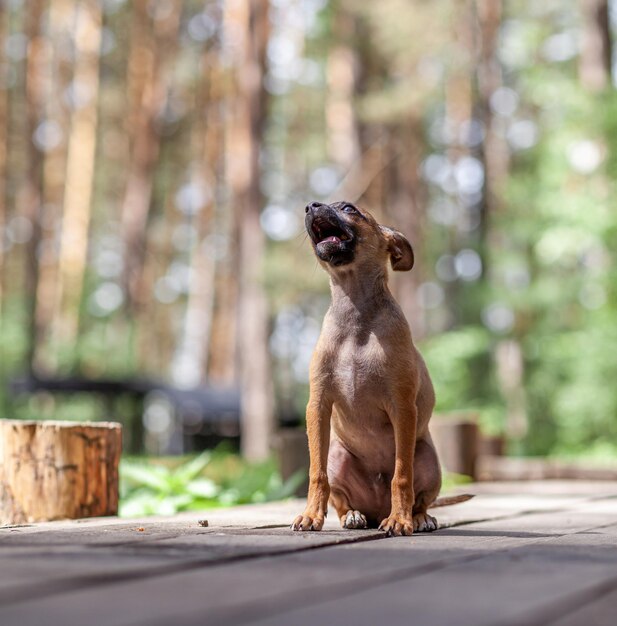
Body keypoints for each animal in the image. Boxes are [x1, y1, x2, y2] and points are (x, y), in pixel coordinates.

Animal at [292, 201, 470, 536]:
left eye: (349, 208)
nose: (310, 206)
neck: (356, 320)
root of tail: (375, 508)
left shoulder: (402, 408)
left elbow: (401, 476)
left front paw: (400, 520)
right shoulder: (318, 405)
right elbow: (316, 473)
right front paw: (311, 515)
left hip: (428, 460)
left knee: (420, 497)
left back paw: (418, 518)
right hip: (338, 456)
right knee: (342, 500)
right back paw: (353, 515)